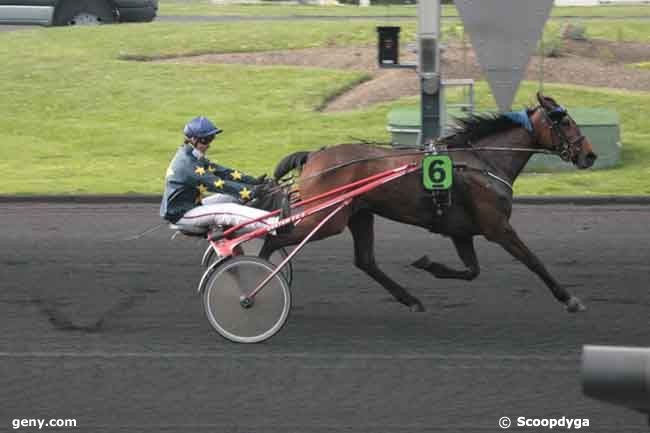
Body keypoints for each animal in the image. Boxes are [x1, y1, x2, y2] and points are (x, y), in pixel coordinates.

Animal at [256, 93, 596, 312]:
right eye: (565, 122)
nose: (589, 155)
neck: (483, 161)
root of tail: (315, 155)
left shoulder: (461, 231)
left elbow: (471, 271)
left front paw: (429, 265)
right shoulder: (498, 227)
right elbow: (534, 261)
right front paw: (569, 299)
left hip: (359, 215)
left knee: (365, 261)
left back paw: (410, 299)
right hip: (327, 219)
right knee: (274, 238)